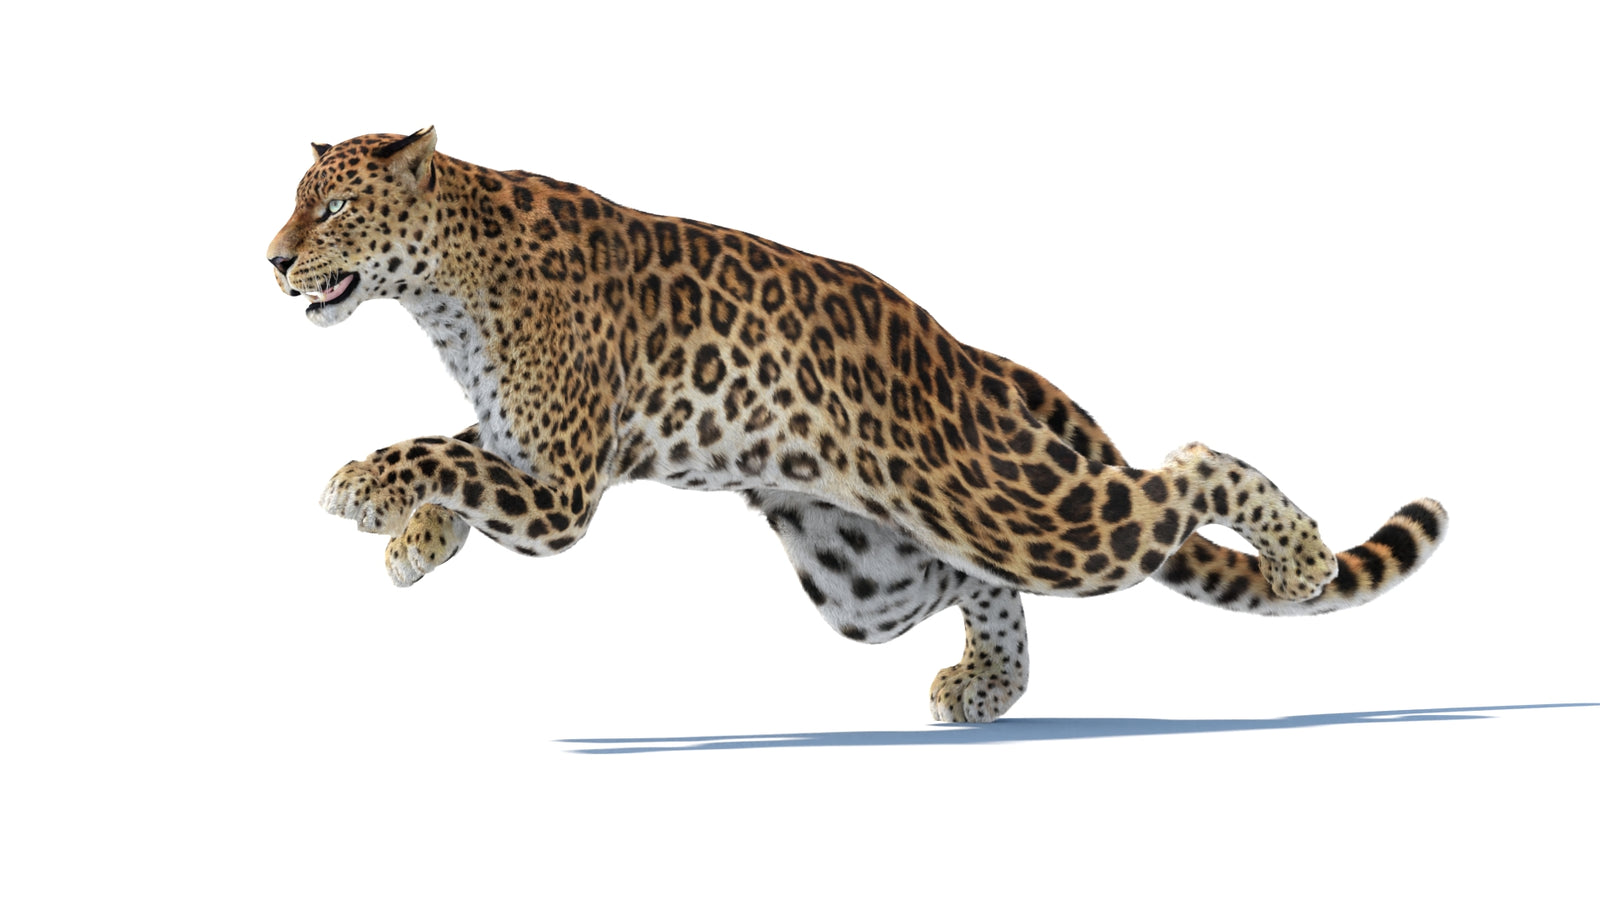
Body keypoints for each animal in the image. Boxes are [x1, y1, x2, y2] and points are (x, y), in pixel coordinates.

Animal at [268, 128, 1448, 722]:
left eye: (334, 208)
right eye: (297, 202)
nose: (273, 260)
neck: (440, 288)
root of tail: (968, 357)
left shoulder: (561, 488)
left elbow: (434, 449)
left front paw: (362, 489)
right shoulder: (528, 448)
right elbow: (456, 451)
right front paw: (412, 539)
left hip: (1023, 511)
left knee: (1183, 471)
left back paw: (1298, 557)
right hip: (862, 574)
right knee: (969, 582)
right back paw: (985, 686)